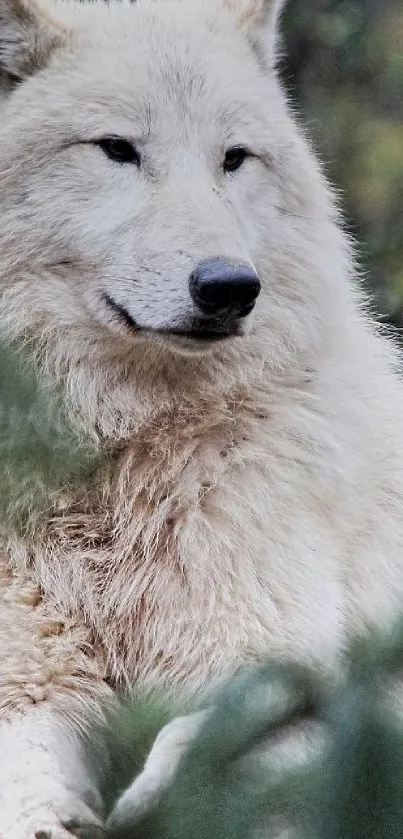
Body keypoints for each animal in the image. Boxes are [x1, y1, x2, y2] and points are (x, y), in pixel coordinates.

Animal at [0, 0, 403, 836]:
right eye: (117, 149)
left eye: (233, 158)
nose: (227, 287)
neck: (112, 455)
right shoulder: (27, 676)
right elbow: (22, 774)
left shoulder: (268, 666)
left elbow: (203, 747)